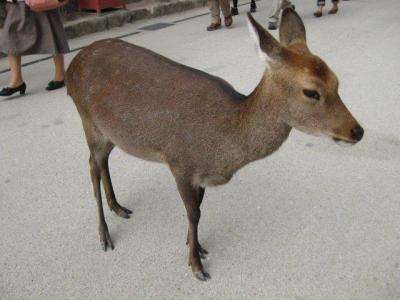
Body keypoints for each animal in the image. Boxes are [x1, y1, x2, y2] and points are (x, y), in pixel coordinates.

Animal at [66, 9, 366, 282]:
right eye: (311, 91)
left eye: (336, 81)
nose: (357, 131)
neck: (222, 148)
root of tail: (72, 67)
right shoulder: (180, 164)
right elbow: (193, 213)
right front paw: (196, 266)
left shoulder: (200, 175)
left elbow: (199, 211)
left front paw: (196, 246)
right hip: (88, 120)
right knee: (92, 166)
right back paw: (104, 235)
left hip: (109, 133)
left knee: (102, 161)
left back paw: (118, 206)